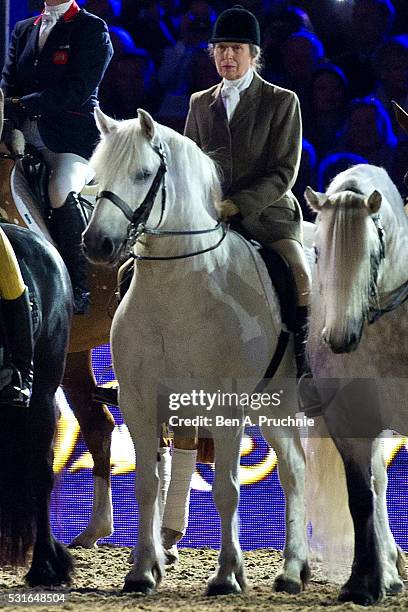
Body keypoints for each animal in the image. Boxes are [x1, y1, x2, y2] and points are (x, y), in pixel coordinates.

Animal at [83, 109, 310, 592]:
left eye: (143, 174)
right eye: (97, 175)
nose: (97, 244)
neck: (182, 285)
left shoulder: (225, 407)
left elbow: (226, 490)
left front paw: (226, 574)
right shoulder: (139, 402)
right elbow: (147, 485)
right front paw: (142, 571)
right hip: (271, 403)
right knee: (295, 469)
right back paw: (293, 569)